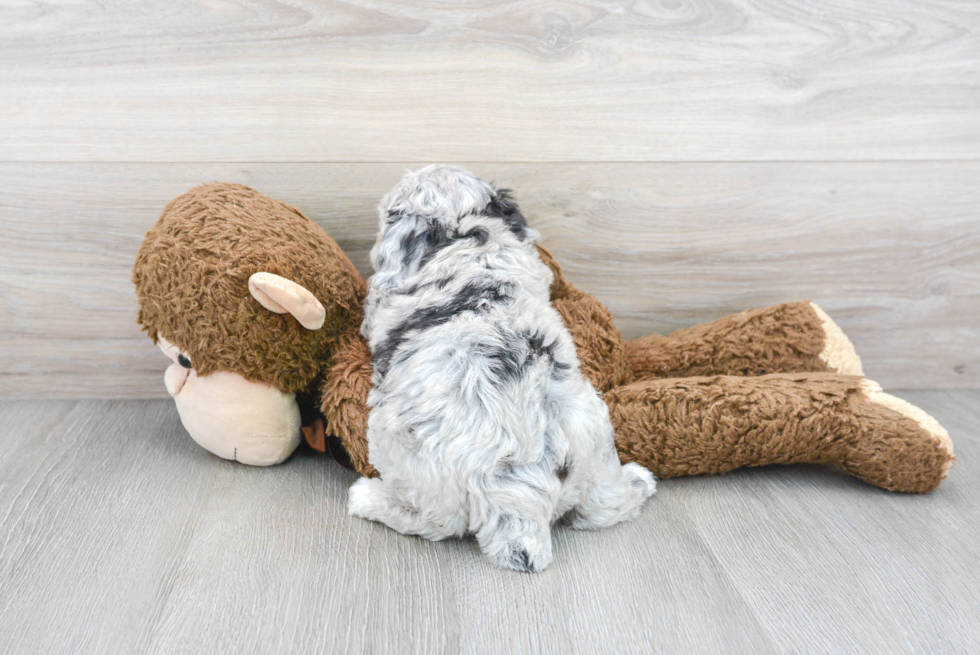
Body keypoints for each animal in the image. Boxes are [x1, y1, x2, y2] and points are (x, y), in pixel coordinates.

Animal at [348, 165, 656, 576]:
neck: (469, 238)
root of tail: (517, 489)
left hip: (402, 454)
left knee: (431, 522)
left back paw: (366, 497)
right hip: (596, 438)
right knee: (602, 506)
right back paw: (640, 480)